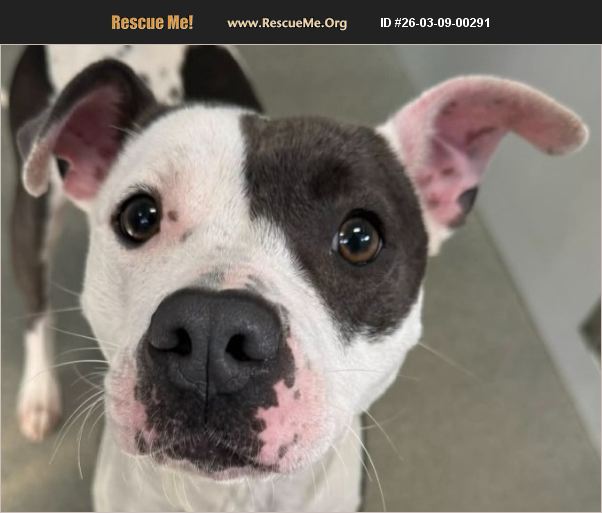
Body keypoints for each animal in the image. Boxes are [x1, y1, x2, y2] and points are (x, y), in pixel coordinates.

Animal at [9, 45, 588, 511]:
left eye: (360, 238)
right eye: (140, 217)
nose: (211, 329)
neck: (230, 496)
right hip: (32, 212)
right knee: (34, 308)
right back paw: (37, 396)